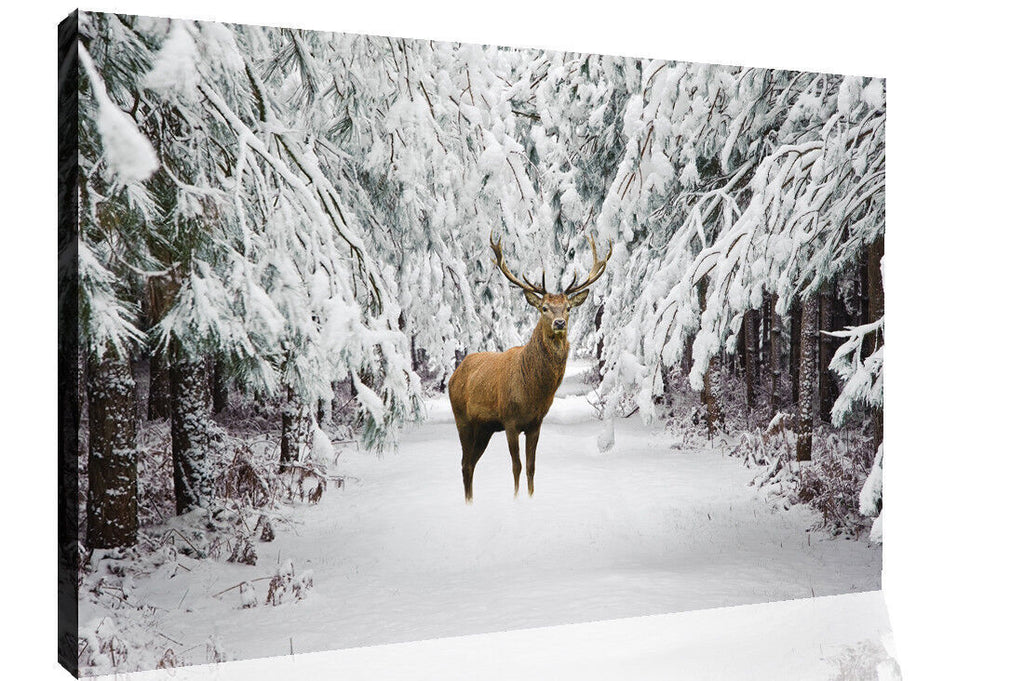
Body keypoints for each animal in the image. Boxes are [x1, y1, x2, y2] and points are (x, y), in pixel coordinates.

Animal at [448, 233, 613, 502]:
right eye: (544, 308)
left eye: (568, 308)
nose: (559, 323)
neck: (533, 391)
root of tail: (454, 374)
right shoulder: (510, 420)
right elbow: (516, 466)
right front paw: (516, 499)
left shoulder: (535, 423)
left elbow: (531, 466)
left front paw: (531, 497)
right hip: (462, 418)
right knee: (464, 463)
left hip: (484, 427)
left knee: (470, 463)